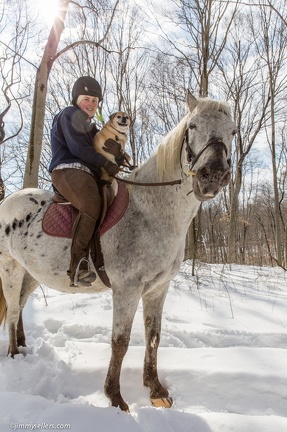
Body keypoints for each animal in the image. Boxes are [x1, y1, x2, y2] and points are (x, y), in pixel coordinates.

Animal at [0, 92, 236, 412]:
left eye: (233, 131)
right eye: (193, 126)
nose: (212, 175)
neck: (151, 210)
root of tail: (8, 200)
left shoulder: (157, 289)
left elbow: (153, 337)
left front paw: (155, 389)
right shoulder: (127, 288)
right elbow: (120, 342)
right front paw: (115, 398)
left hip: (32, 273)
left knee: (21, 307)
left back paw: (23, 347)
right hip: (10, 268)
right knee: (13, 311)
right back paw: (14, 354)